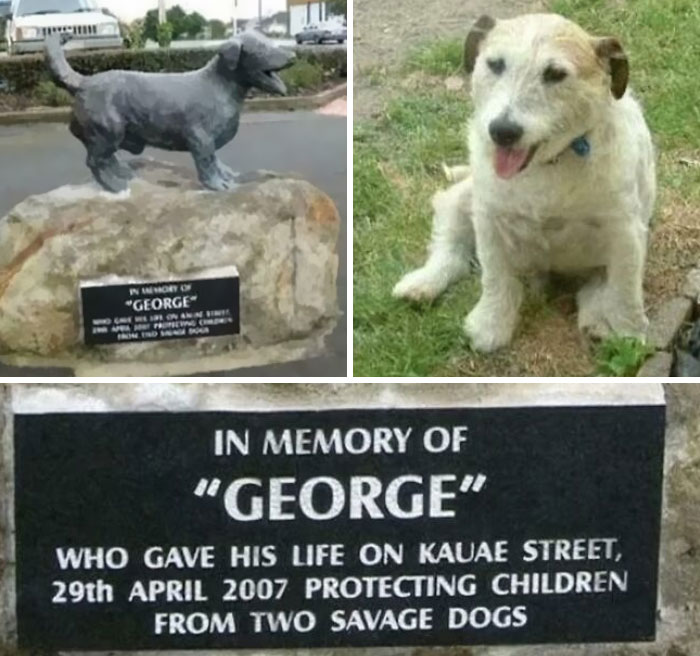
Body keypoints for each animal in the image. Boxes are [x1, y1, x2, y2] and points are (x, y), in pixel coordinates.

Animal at [394, 14, 656, 354]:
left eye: (555, 74)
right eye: (495, 64)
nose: (502, 131)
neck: (549, 164)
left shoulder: (625, 231)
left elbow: (625, 289)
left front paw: (628, 333)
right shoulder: (489, 221)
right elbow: (495, 277)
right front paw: (491, 324)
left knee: (599, 288)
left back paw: (598, 321)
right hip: (462, 200)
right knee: (451, 250)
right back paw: (423, 283)